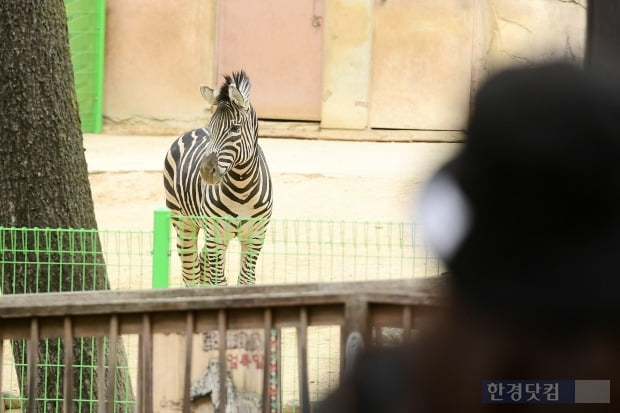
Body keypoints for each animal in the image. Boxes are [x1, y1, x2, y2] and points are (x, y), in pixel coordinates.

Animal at [163, 71, 272, 284]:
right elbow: (219, 282)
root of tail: (194, 130)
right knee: (191, 271)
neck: (242, 189)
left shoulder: (256, 236)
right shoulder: (216, 234)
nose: (205, 171)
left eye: (235, 129)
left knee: (202, 262)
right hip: (183, 221)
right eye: (211, 126)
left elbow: (246, 280)